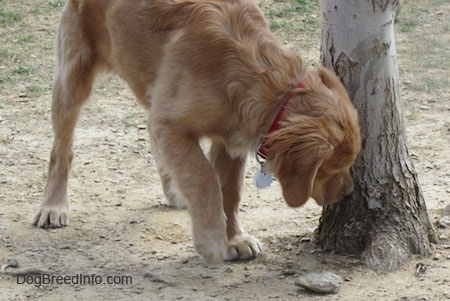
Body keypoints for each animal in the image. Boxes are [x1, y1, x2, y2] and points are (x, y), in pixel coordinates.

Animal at [33, 0, 360, 262]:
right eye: (331, 168)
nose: (349, 192)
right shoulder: (173, 124)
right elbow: (204, 179)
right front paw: (212, 240)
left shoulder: (229, 138)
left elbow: (230, 191)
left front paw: (234, 238)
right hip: (72, 78)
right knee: (61, 149)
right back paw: (53, 206)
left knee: (151, 136)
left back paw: (174, 190)